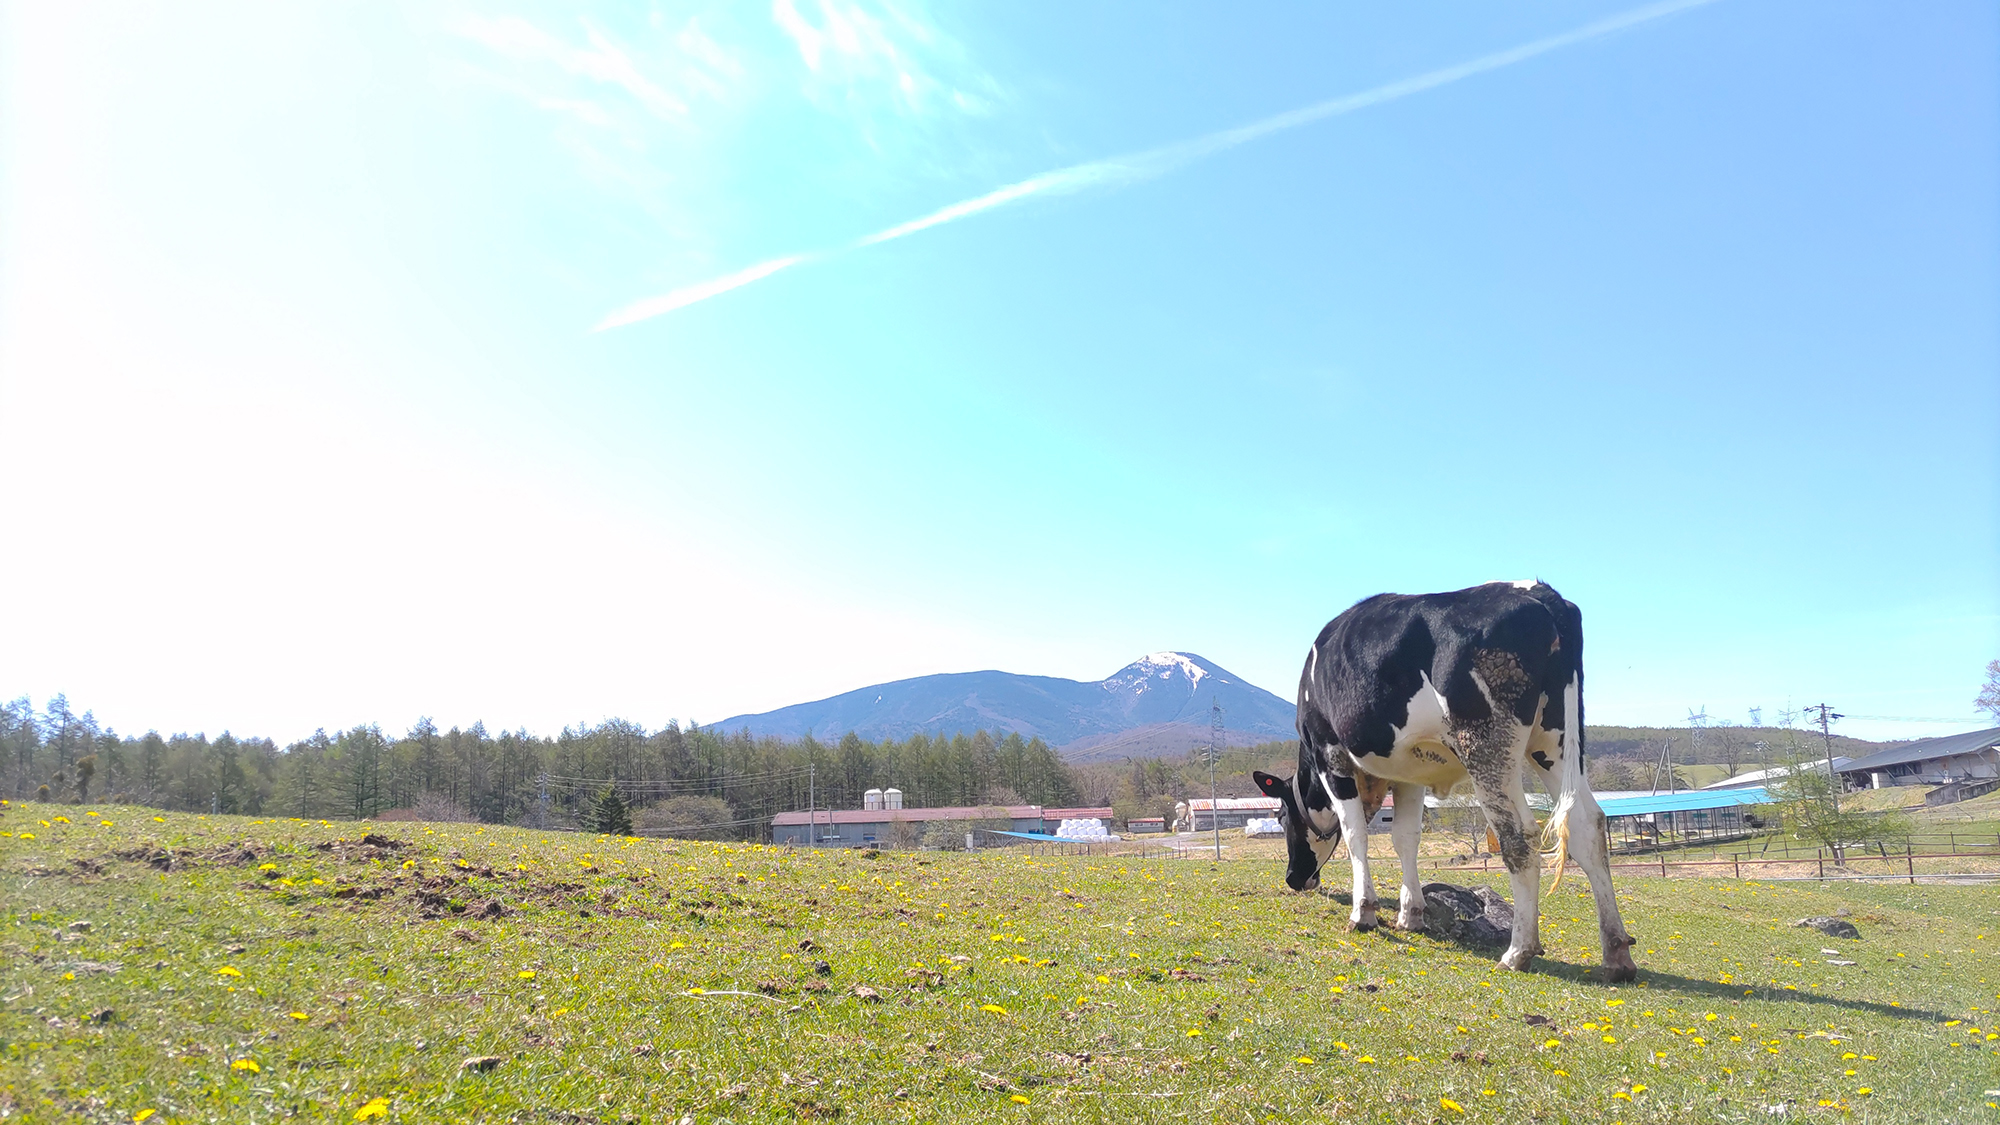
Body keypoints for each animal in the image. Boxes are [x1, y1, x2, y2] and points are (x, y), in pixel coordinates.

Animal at [1256, 580, 1632, 976]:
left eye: (1281, 817)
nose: (1293, 878)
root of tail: (1538, 591)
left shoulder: (1331, 755)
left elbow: (1355, 834)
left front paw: (1363, 913)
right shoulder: (1407, 772)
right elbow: (1405, 838)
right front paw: (1411, 915)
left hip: (1486, 746)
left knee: (1519, 836)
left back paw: (1518, 951)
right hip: (1555, 742)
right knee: (1587, 825)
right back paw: (1616, 953)